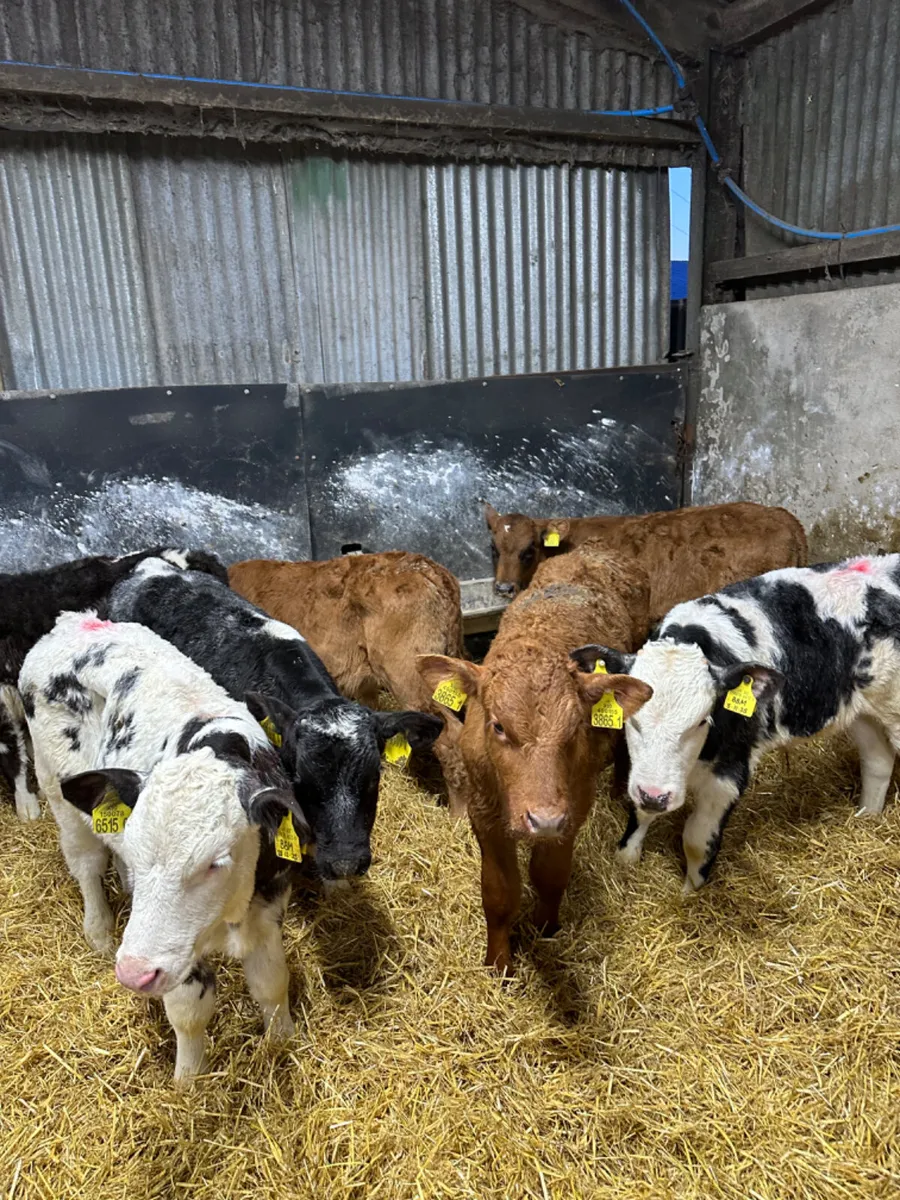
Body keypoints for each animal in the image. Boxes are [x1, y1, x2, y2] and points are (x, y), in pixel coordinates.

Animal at [20, 610, 310, 1083]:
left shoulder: (268, 908)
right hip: (56, 789)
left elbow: (271, 982)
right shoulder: (175, 955)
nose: (132, 972)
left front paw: (284, 1039)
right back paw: (99, 931)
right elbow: (189, 1012)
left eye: (215, 862)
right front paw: (188, 1082)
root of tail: (75, 622)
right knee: (86, 864)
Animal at [417, 546, 653, 973]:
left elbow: (550, 876)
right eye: (498, 725)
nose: (543, 820)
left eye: (576, 727)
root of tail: (596, 548)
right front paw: (499, 963)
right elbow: (498, 892)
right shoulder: (484, 812)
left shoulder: (572, 809)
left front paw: (544, 928)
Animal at [569, 554, 900, 894]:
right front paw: (626, 858)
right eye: (631, 719)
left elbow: (697, 839)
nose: (655, 796)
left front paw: (690, 894)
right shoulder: (645, 775)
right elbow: (638, 813)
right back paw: (867, 817)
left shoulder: (730, 771)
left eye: (702, 721)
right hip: (865, 711)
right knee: (877, 761)